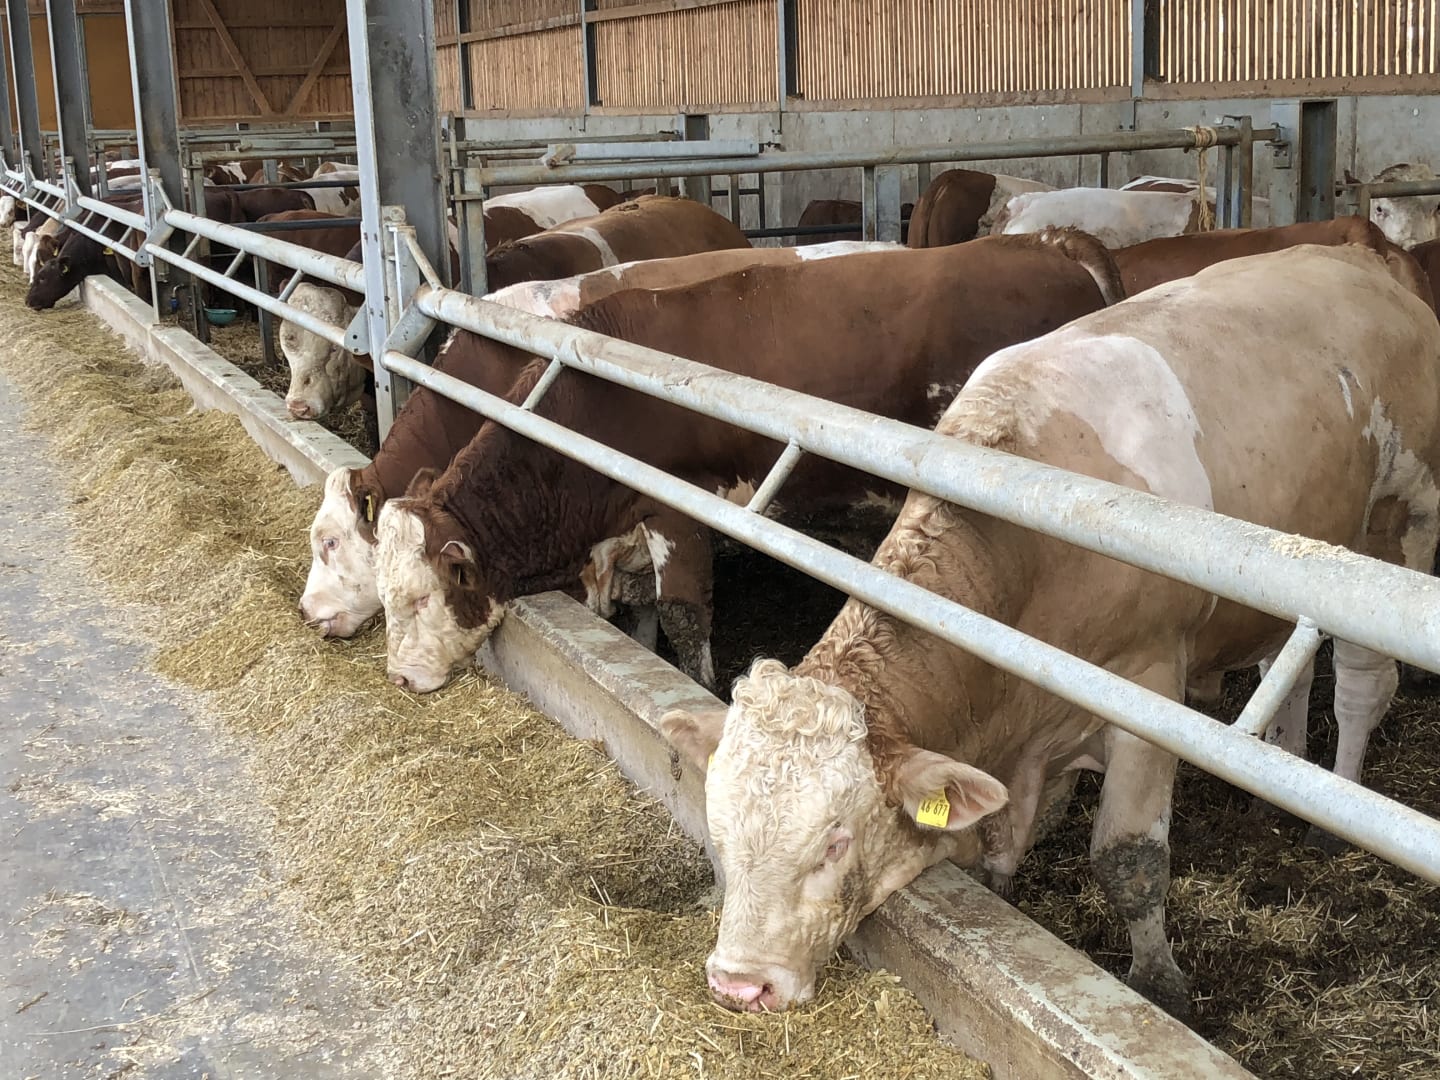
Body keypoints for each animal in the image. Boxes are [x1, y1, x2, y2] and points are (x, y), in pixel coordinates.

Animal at [367, 231, 1123, 693]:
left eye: (419, 598)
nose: (398, 678)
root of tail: (1042, 241)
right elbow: (643, 612)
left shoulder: (677, 505)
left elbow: (684, 615)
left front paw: (700, 690)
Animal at [659, 243, 1440, 1021]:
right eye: (718, 825)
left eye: (834, 841)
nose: (739, 982)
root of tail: (1353, 255)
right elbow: (1003, 845)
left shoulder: (1149, 691)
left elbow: (1129, 858)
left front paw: (1158, 983)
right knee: (1293, 668)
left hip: (1391, 539)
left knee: (1362, 688)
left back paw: (1328, 815)